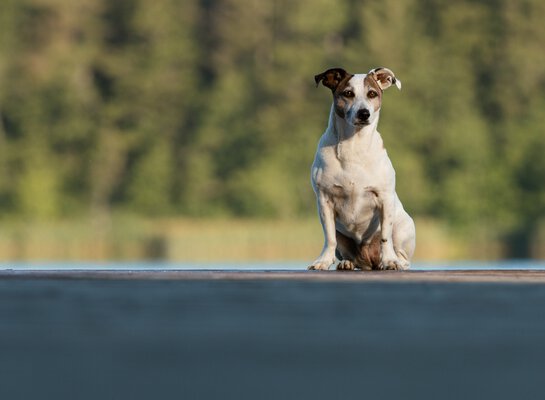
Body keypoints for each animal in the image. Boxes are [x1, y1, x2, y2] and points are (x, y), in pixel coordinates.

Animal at [308, 67, 414, 272]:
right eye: (348, 93)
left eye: (372, 94)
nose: (364, 113)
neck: (353, 145)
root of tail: (369, 260)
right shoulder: (324, 200)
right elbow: (329, 237)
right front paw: (323, 261)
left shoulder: (384, 198)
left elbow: (385, 237)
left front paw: (389, 261)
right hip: (343, 237)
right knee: (346, 251)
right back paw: (347, 263)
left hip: (403, 226)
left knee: (402, 255)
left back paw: (392, 261)